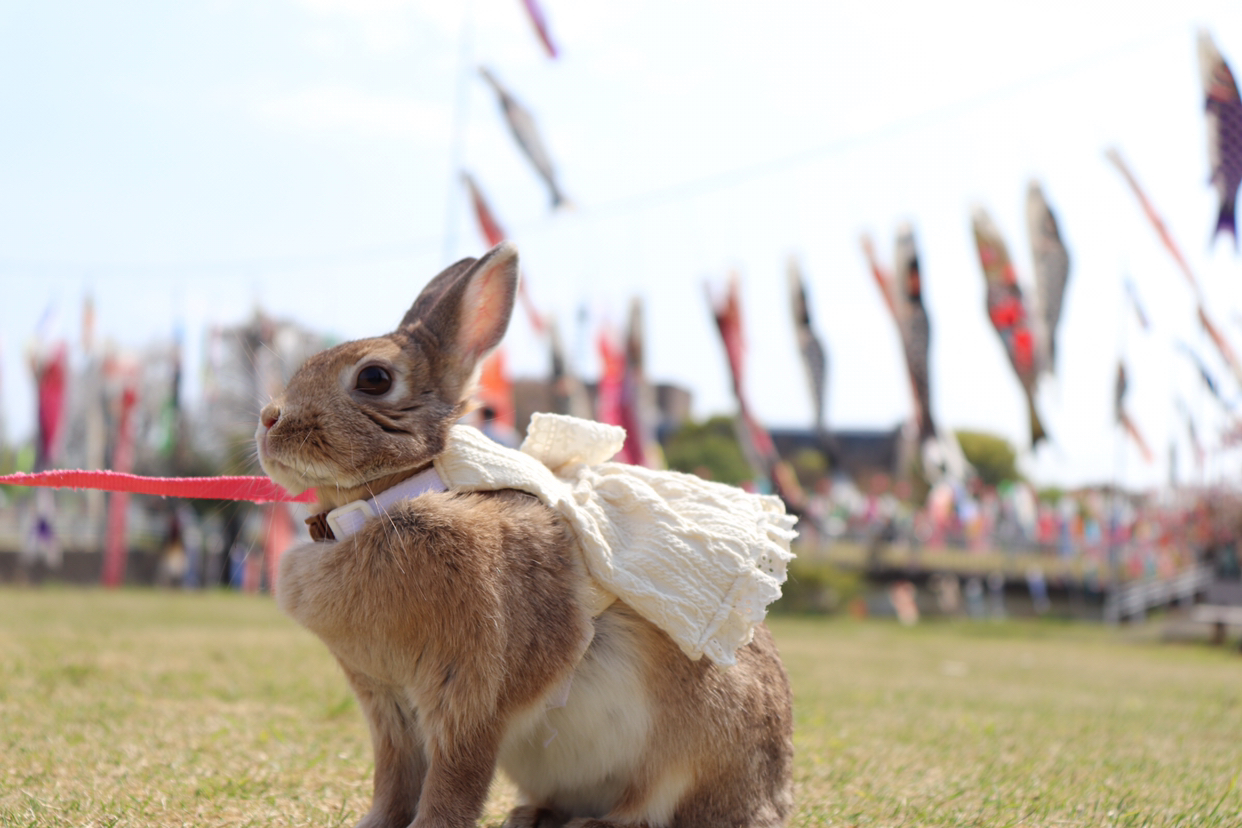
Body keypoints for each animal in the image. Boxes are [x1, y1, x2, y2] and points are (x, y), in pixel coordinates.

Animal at [259, 240, 794, 828]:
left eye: (373, 379)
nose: (269, 419)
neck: (383, 501)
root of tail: (772, 796)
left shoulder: (471, 694)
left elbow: (454, 778)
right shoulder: (389, 705)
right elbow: (395, 781)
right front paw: (374, 824)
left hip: (695, 744)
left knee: (652, 807)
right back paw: (533, 814)